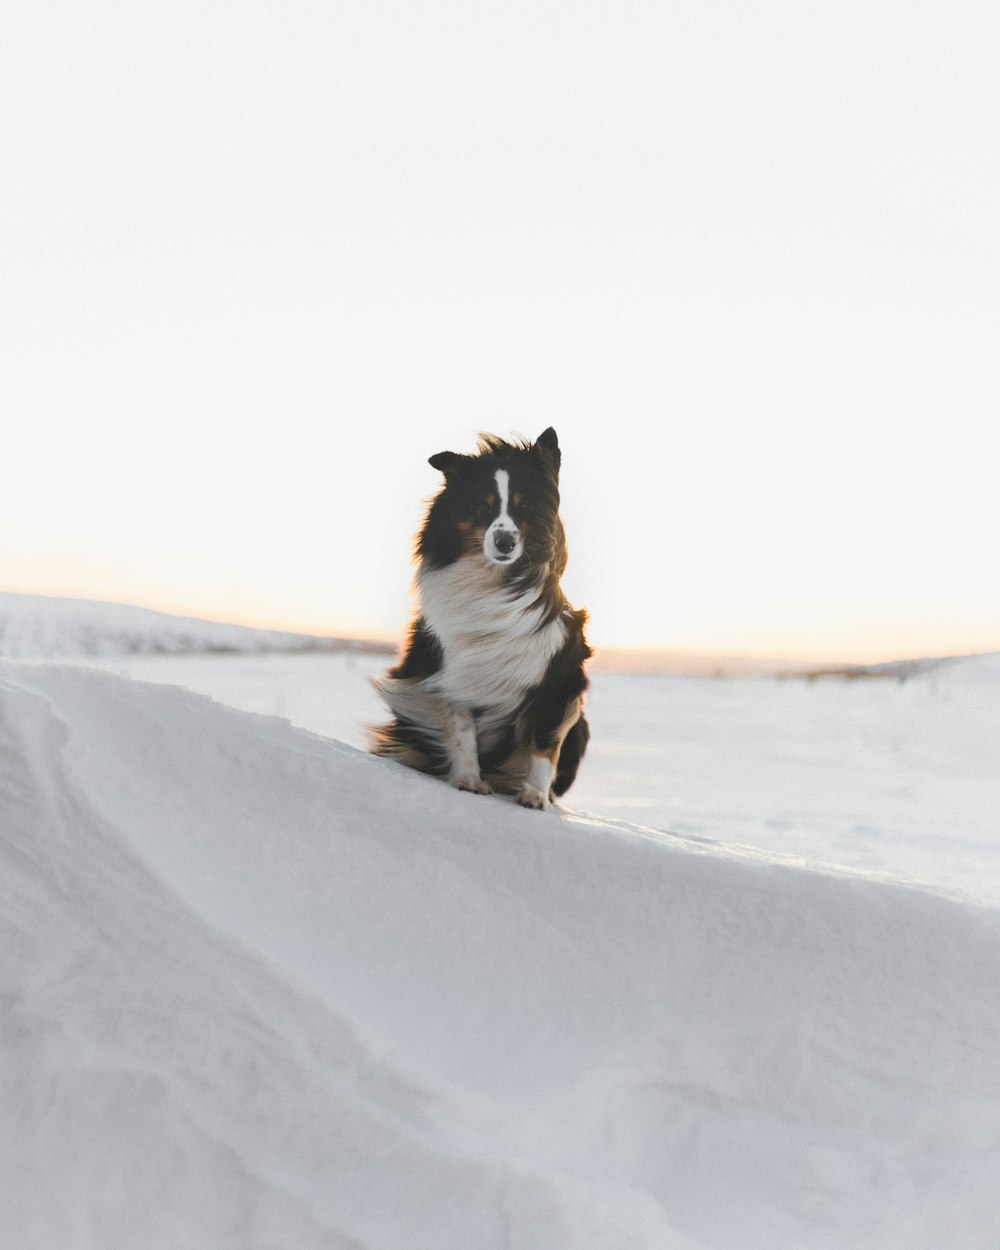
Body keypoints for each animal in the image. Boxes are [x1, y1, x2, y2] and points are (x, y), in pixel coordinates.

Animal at [375, 430, 595, 810]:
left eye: (525, 507)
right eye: (482, 507)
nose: (505, 542)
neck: (495, 580)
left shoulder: (559, 677)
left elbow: (544, 744)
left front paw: (535, 796)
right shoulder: (451, 669)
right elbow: (461, 729)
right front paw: (468, 780)